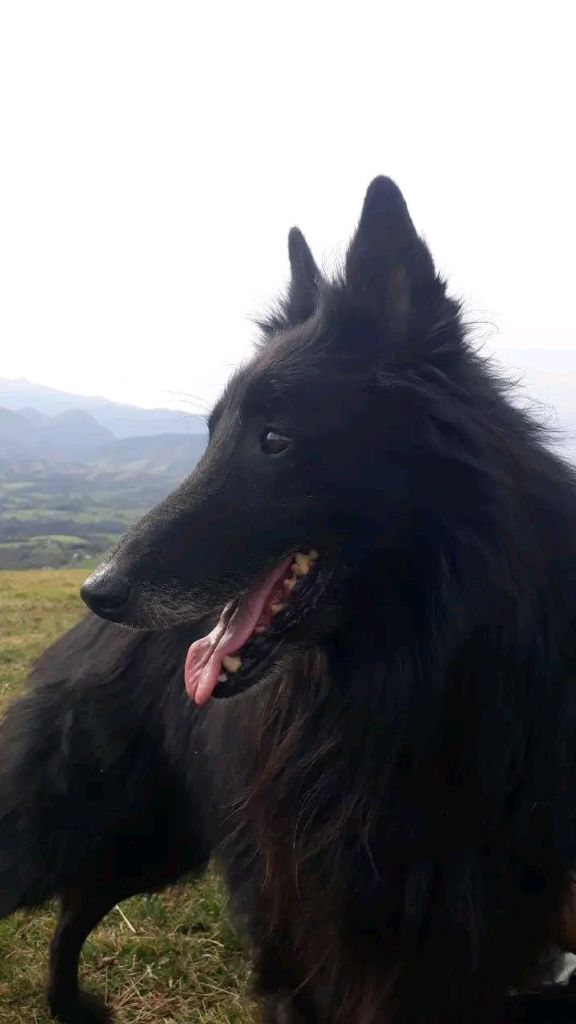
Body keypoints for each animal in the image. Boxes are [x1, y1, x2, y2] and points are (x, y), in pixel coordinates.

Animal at [3, 180, 573, 1019]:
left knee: (77, 904)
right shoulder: (301, 943)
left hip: (153, 841)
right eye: (209, 434)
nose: (97, 589)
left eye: (273, 440)